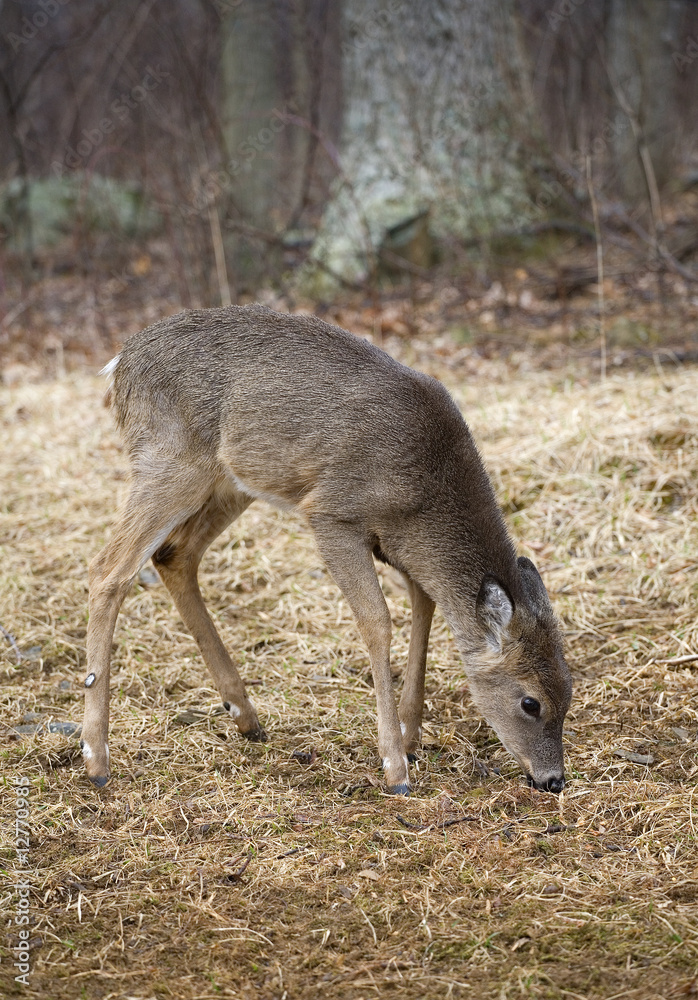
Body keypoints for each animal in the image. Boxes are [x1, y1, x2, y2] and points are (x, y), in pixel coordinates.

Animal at [82, 303, 572, 795]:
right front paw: (395, 766)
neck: (425, 491)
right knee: (108, 569)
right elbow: (377, 621)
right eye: (531, 702)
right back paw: (96, 759)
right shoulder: (333, 513)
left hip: (233, 480)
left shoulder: (401, 547)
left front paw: (411, 738)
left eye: (569, 691)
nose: (553, 780)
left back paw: (245, 716)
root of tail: (120, 363)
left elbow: (425, 609)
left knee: (174, 555)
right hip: (171, 459)